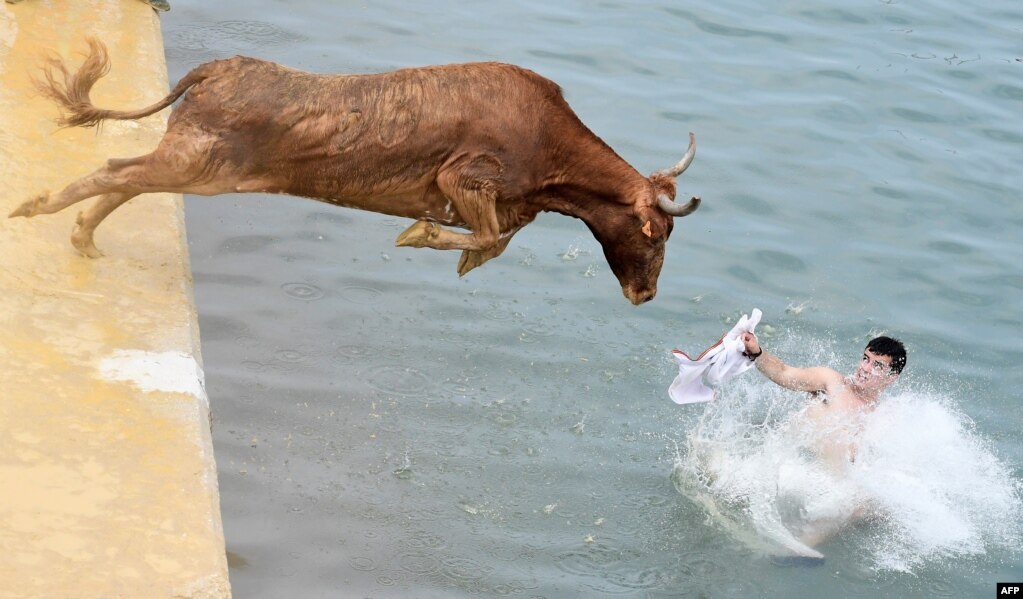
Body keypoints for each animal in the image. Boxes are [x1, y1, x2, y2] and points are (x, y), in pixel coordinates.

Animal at [7, 38, 699, 302]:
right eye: (658, 234)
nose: (646, 294)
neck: (554, 164)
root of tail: (215, 70)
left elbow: (495, 241)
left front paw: (457, 255)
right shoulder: (465, 181)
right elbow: (485, 235)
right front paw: (419, 233)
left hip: (193, 165)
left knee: (126, 173)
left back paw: (80, 234)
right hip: (196, 161)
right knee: (116, 171)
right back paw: (41, 210)